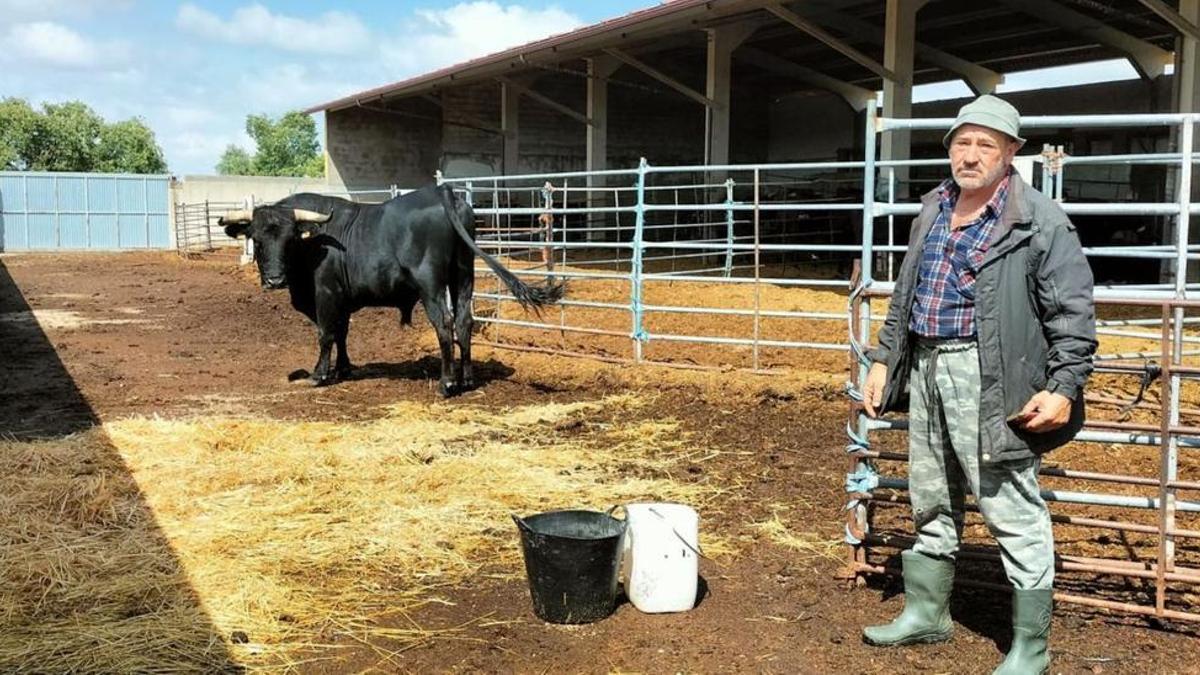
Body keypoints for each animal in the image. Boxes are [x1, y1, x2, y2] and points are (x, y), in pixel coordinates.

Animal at [220, 183, 561, 393]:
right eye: (256, 239)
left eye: (290, 239)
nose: (274, 280)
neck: (316, 244)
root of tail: (441, 191)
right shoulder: (343, 300)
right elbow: (342, 333)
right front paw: (344, 369)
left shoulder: (326, 296)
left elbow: (326, 334)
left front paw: (320, 374)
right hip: (463, 276)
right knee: (464, 321)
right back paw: (466, 380)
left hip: (430, 283)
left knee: (445, 323)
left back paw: (447, 383)